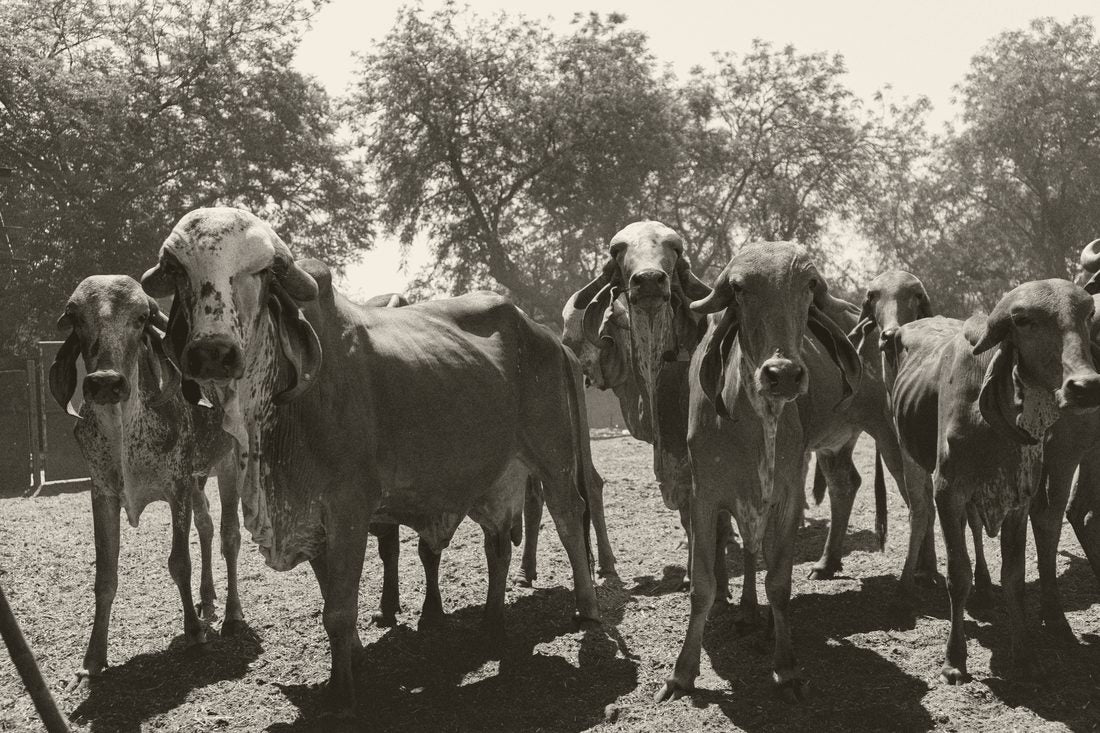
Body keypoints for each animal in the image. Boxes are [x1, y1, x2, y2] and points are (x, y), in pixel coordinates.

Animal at [48, 275, 239, 691]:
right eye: (75, 316)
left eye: (140, 318)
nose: (105, 382)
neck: (124, 432)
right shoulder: (102, 493)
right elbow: (105, 576)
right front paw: (90, 662)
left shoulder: (177, 485)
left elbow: (179, 561)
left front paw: (194, 634)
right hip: (199, 479)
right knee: (207, 527)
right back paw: (208, 599)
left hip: (230, 461)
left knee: (230, 535)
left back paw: (232, 613)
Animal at [139, 207, 601, 712]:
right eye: (179, 271)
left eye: (260, 270)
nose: (213, 352)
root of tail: (546, 336)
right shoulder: (312, 518)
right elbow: (331, 597)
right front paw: (357, 659)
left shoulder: (348, 508)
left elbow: (339, 610)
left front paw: (343, 691)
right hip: (497, 475)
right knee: (498, 545)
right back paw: (492, 624)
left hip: (554, 457)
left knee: (570, 519)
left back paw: (587, 609)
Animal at [657, 242, 898, 702]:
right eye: (739, 288)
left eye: (809, 285)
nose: (782, 374)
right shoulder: (706, 497)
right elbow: (704, 584)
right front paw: (682, 672)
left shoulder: (786, 496)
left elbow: (780, 582)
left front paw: (785, 666)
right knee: (844, 486)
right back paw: (797, 581)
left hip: (888, 434)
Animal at [887, 279, 1100, 683]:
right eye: (1024, 321)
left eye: (1086, 316)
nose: (1086, 385)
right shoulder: (949, 492)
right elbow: (957, 574)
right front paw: (954, 660)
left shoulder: (1019, 499)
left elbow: (1014, 578)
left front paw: (1025, 653)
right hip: (910, 458)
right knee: (918, 515)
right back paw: (905, 587)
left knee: (974, 529)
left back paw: (985, 588)